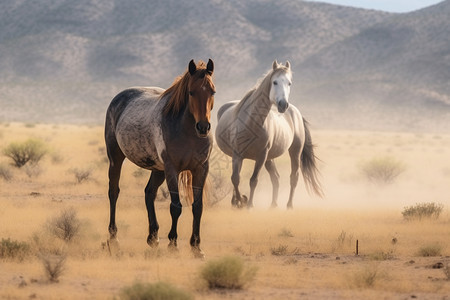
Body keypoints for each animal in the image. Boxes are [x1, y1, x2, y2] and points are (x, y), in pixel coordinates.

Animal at [106, 59, 217, 258]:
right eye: (191, 92)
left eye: (212, 91)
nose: (203, 127)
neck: (186, 130)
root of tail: (118, 98)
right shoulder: (172, 169)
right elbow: (176, 207)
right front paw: (173, 244)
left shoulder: (201, 168)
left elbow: (197, 207)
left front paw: (196, 247)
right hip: (115, 159)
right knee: (113, 192)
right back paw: (114, 239)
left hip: (158, 170)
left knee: (149, 193)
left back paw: (153, 238)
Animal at [214, 60, 320, 209]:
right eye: (274, 82)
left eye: (289, 83)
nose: (283, 105)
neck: (251, 123)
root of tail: (296, 112)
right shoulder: (237, 155)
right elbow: (235, 178)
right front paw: (239, 202)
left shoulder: (261, 156)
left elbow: (253, 180)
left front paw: (248, 205)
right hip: (270, 158)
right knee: (275, 178)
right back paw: (272, 205)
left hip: (294, 152)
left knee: (293, 177)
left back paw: (289, 205)